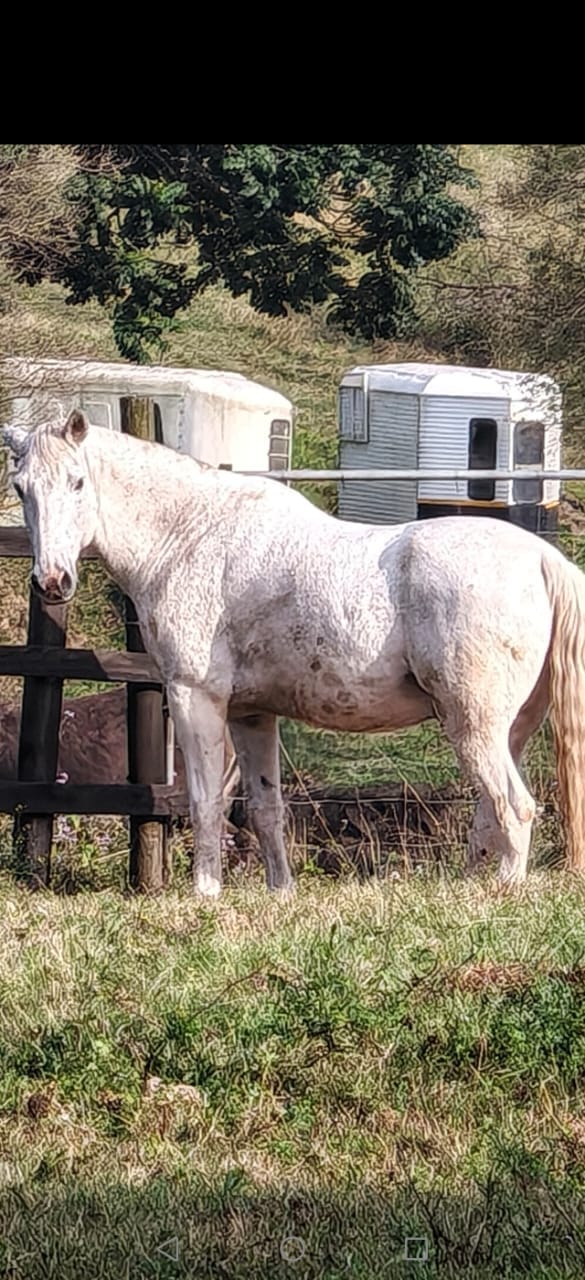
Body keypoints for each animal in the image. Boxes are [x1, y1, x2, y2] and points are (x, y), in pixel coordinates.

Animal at [3, 410, 585, 896]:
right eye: (21, 488)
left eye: (78, 482)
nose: (52, 582)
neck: (189, 536)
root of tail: (541, 559)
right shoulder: (251, 714)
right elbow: (266, 808)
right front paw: (280, 891)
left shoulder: (195, 698)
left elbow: (205, 801)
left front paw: (205, 894)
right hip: (505, 729)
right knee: (491, 810)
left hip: (473, 723)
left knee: (514, 807)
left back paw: (503, 891)